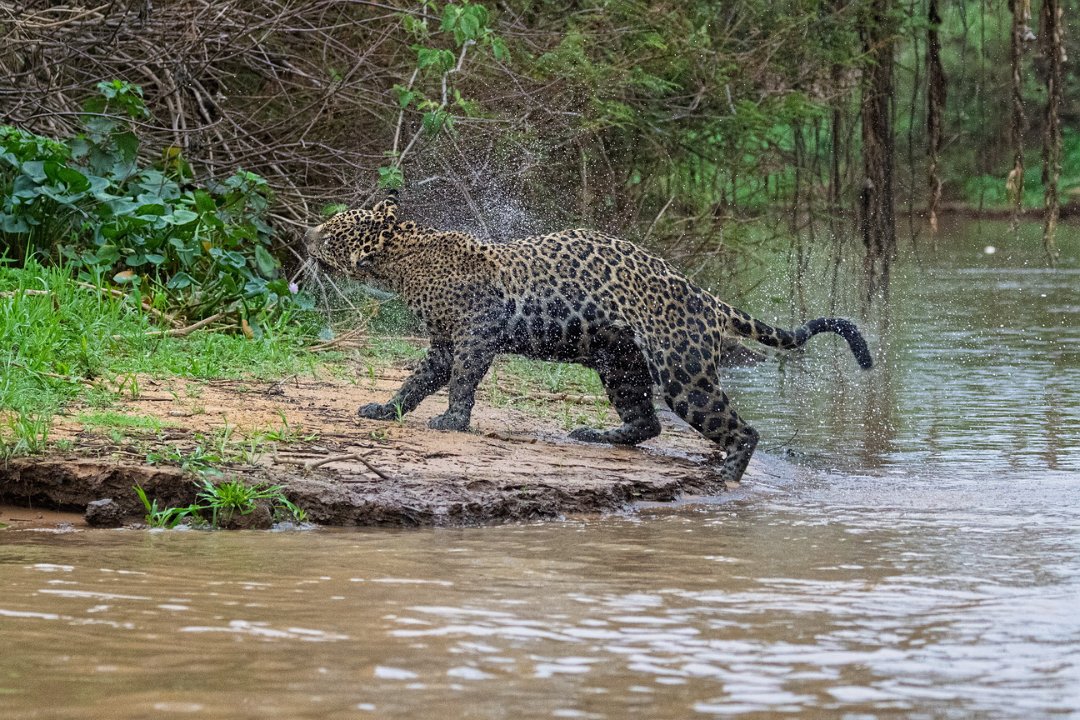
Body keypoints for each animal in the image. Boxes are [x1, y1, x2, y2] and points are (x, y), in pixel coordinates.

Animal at [306, 191, 873, 484]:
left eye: (334, 230)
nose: (306, 233)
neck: (402, 259)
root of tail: (709, 298)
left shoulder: (475, 332)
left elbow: (462, 379)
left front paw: (452, 421)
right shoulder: (444, 341)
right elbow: (418, 379)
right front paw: (386, 410)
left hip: (682, 372)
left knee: (740, 429)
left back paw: (725, 477)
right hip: (618, 361)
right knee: (646, 422)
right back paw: (595, 435)